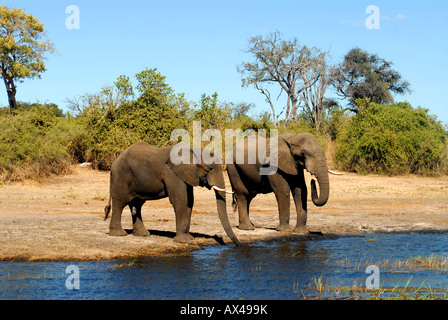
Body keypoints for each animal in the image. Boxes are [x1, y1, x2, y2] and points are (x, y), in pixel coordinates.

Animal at [104, 142, 242, 245]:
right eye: (210, 168)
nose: (238, 244)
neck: (193, 150)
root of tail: (115, 160)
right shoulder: (172, 173)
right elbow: (180, 200)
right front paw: (183, 241)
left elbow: (189, 202)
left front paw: (188, 239)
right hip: (121, 175)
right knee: (120, 202)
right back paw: (119, 234)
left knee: (137, 205)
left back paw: (143, 235)